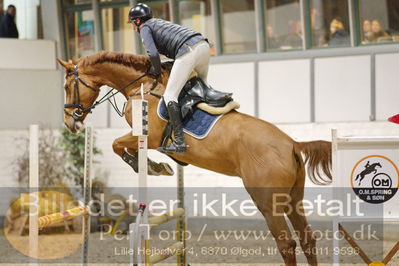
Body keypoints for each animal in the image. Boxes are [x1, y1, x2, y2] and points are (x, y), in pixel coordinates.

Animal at [58, 52, 332, 266]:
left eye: (66, 87)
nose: (70, 123)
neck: (141, 86)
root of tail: (292, 144)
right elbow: (121, 146)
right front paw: (158, 165)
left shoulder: (150, 137)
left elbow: (117, 145)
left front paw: (150, 165)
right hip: (294, 199)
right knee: (307, 238)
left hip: (268, 203)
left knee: (286, 243)